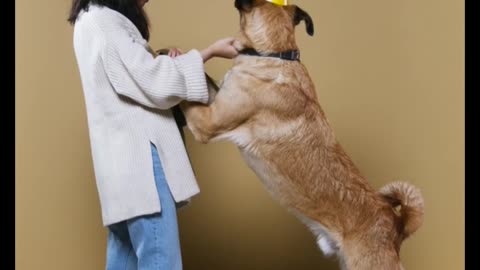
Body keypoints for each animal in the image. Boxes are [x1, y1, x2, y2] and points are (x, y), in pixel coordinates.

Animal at [179, 1, 424, 268]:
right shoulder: (216, 104)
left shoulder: (208, 122)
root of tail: (396, 224)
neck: (274, 53)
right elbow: (203, 82)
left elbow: (186, 97)